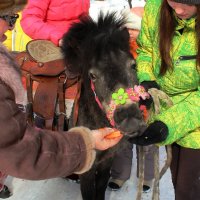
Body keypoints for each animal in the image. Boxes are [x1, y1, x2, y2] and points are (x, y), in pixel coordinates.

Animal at [61, 12, 147, 200]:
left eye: (133, 65)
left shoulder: (107, 160)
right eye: (92, 75)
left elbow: (100, 187)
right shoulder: (87, 170)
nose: (130, 119)